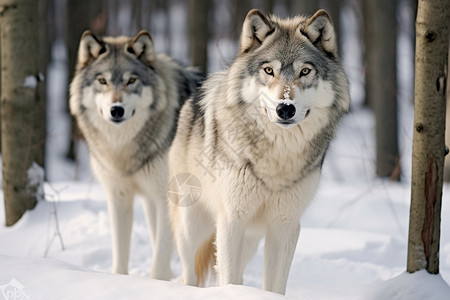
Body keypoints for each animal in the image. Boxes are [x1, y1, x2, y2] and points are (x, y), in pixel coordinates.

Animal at [70, 30, 202, 278]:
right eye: (103, 81)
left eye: (131, 80)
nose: (116, 110)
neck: (124, 149)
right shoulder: (119, 196)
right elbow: (121, 256)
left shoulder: (167, 198)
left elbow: (160, 258)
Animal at [169, 9, 352, 296]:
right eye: (269, 70)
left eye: (305, 71)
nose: (285, 108)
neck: (277, 157)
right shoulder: (231, 220)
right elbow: (228, 280)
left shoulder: (284, 226)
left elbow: (275, 286)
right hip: (194, 226)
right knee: (188, 274)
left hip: (250, 239)